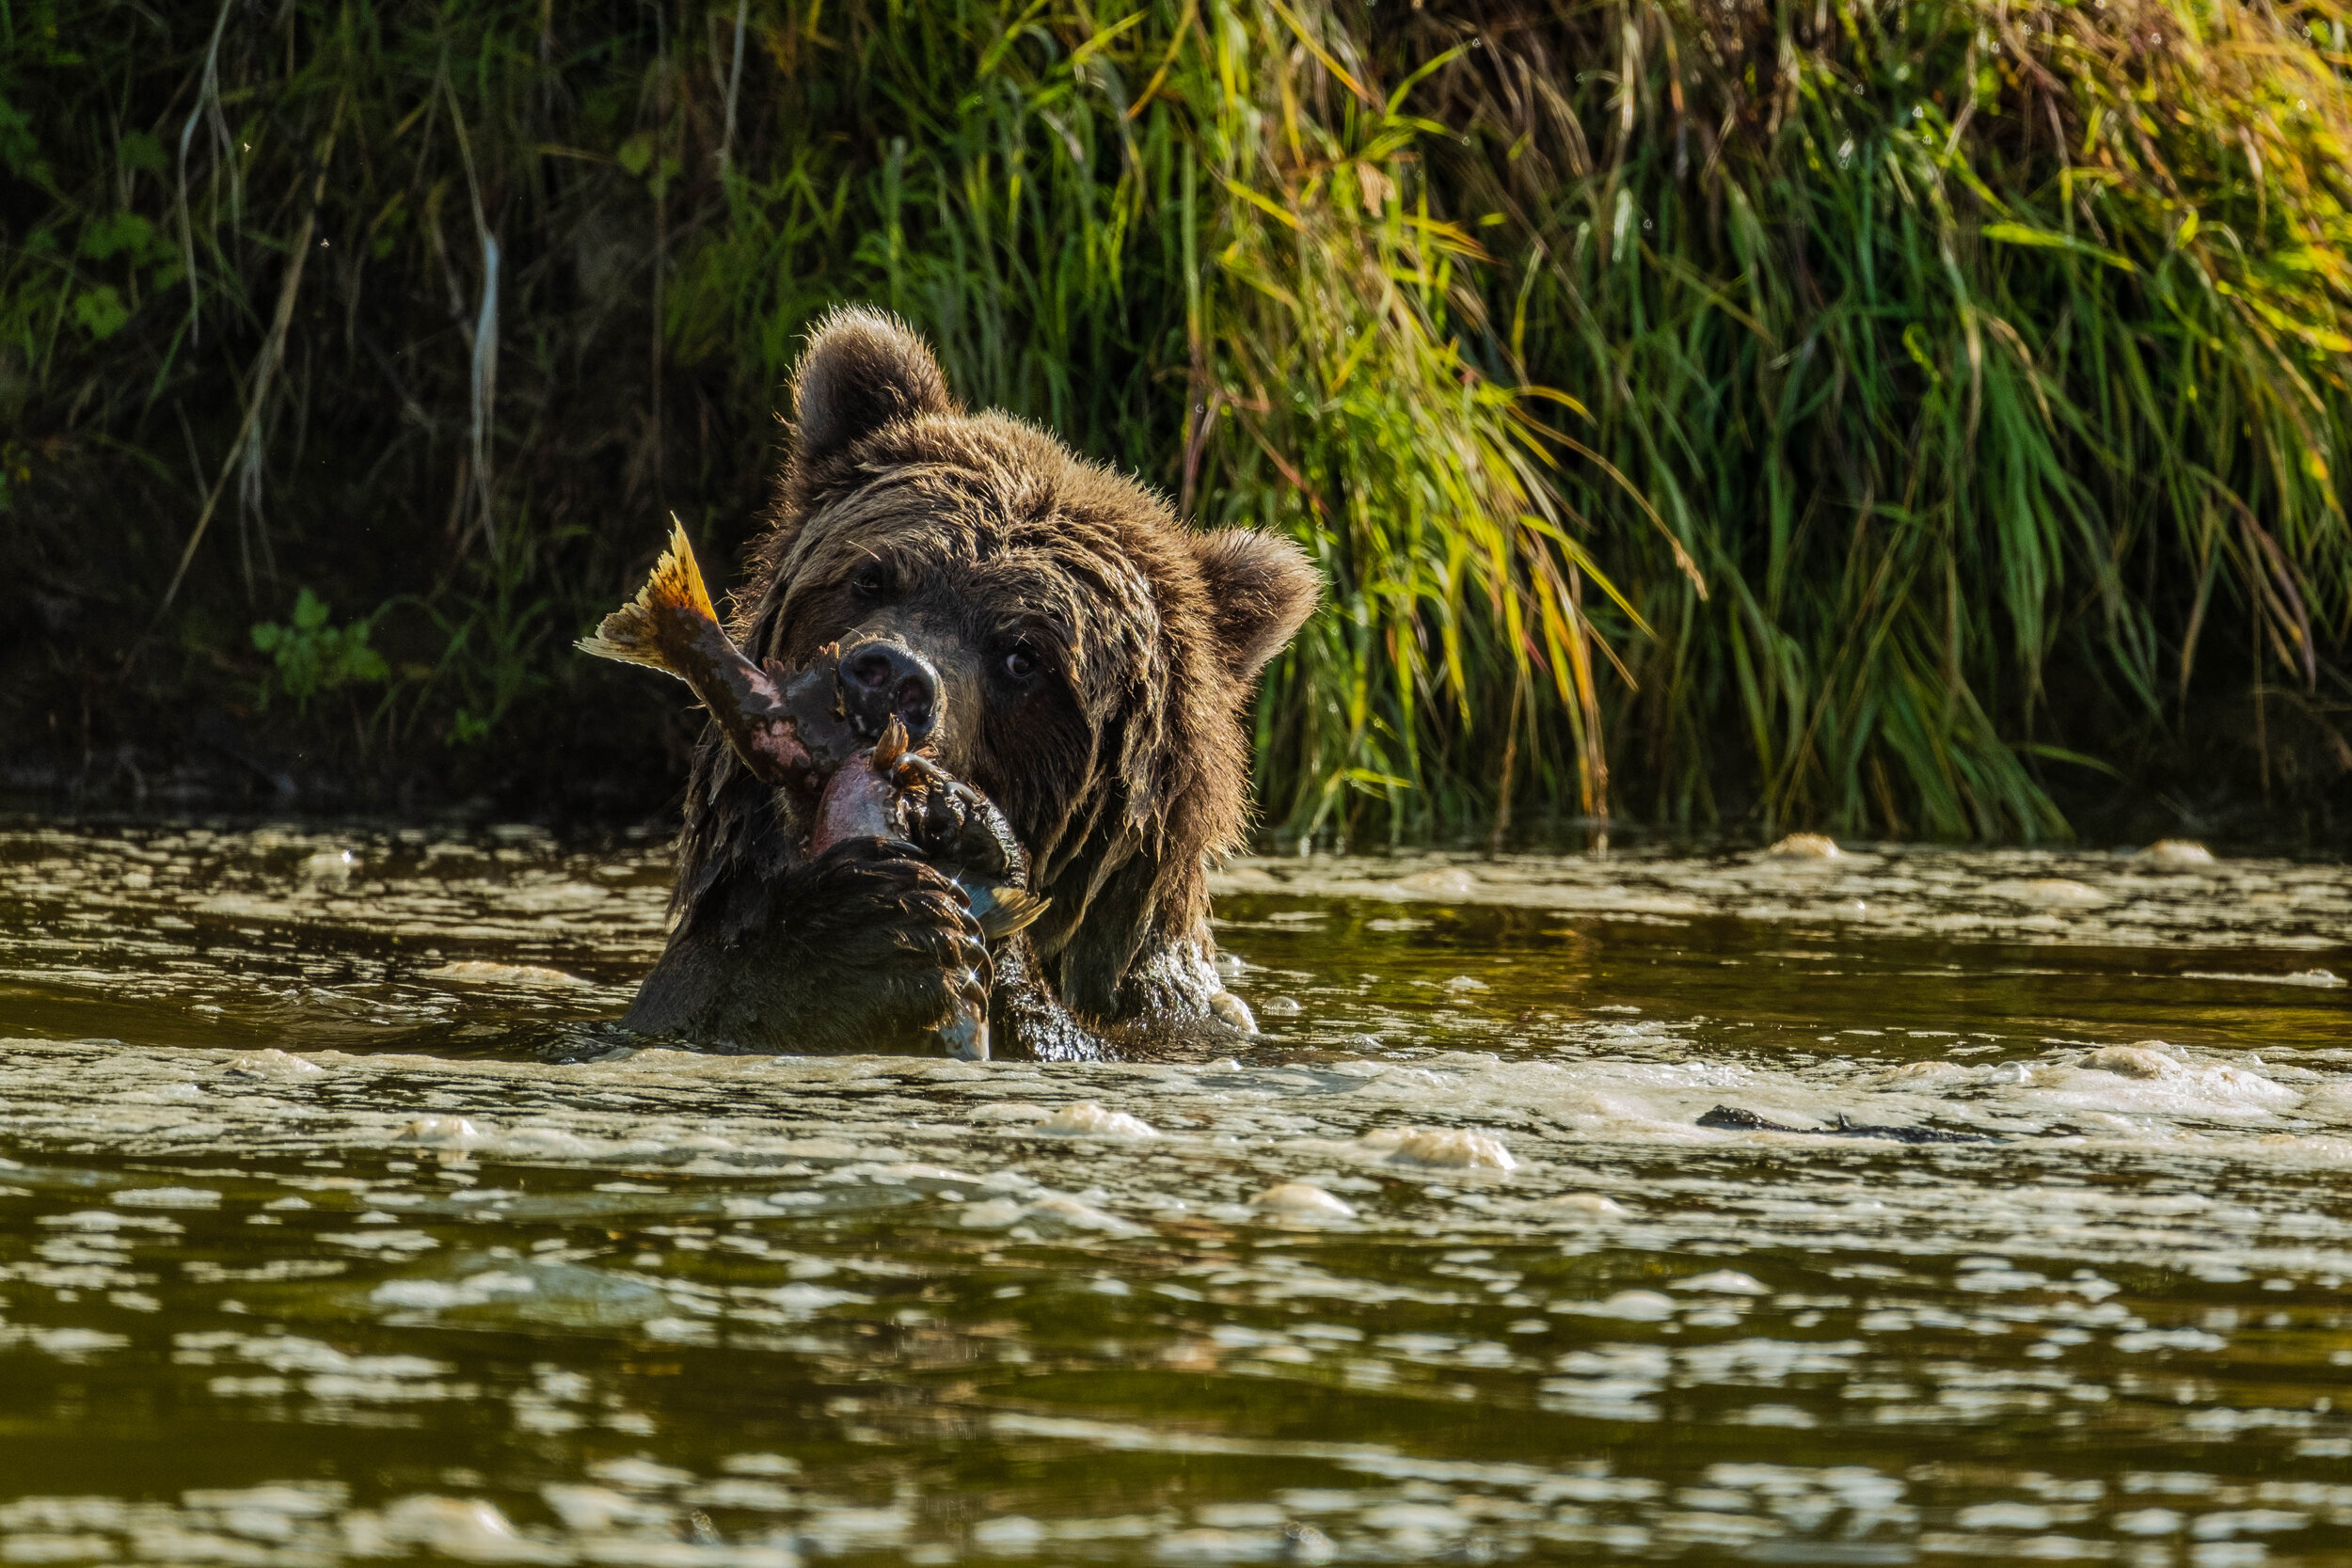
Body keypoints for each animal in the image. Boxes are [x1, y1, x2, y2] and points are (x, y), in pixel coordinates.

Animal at [621, 308, 1327, 1062]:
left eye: (1025, 656)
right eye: (872, 577)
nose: (890, 678)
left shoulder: (1174, 1024)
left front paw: (968, 855)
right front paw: (875, 931)